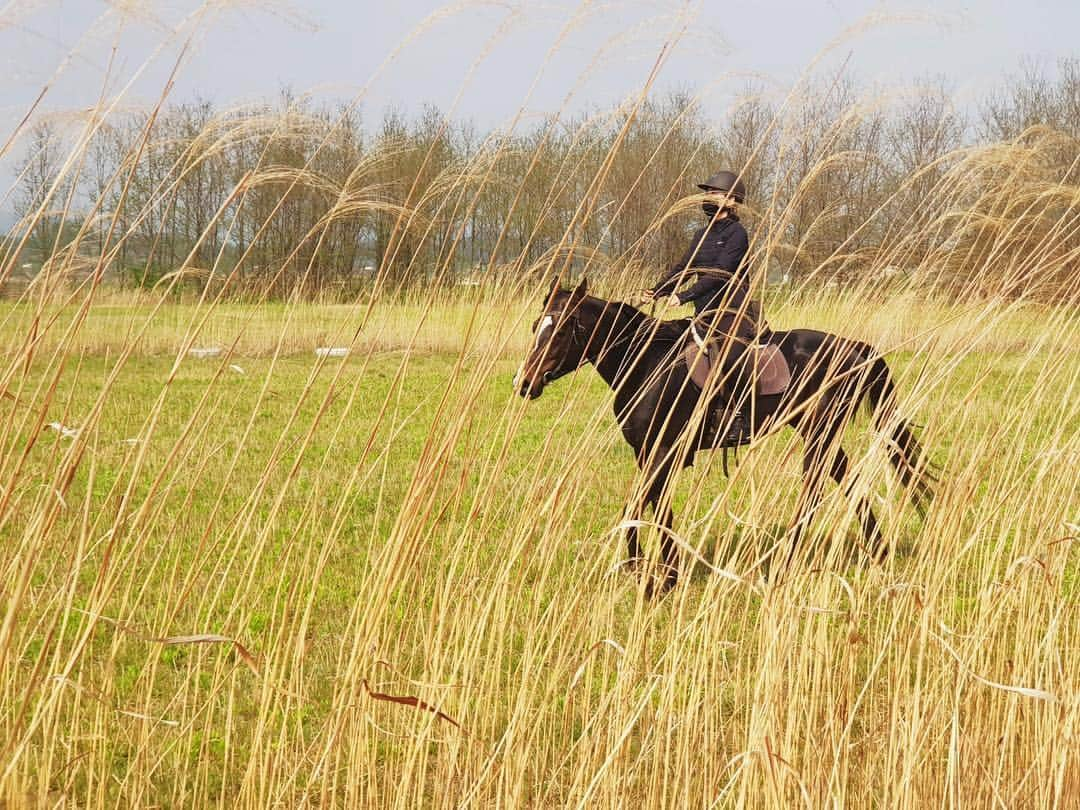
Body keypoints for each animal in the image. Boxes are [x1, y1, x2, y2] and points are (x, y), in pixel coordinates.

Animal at [514, 280, 937, 596]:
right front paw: (664, 572)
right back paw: (876, 549)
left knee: (817, 487)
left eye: (563, 328)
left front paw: (650, 576)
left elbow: (638, 507)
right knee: (846, 479)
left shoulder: (662, 450)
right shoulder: (649, 451)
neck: (647, 362)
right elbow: (655, 508)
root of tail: (856, 349)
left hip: (818, 430)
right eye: (536, 325)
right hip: (817, 431)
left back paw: (786, 559)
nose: (524, 383)